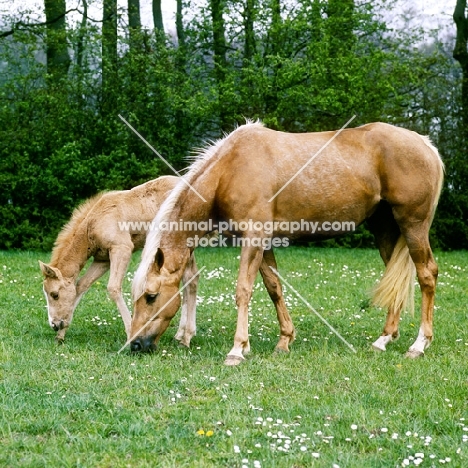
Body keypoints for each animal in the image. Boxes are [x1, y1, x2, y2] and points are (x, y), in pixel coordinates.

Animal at [40, 175, 199, 344]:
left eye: (54, 294)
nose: (54, 324)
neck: (93, 223)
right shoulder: (102, 260)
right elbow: (82, 285)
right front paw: (61, 334)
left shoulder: (122, 248)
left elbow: (113, 288)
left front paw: (131, 334)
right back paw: (181, 334)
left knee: (191, 277)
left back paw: (186, 335)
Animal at [130, 120, 444, 366]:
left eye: (151, 296)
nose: (134, 344)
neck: (230, 170)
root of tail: (425, 144)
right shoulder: (263, 243)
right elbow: (274, 288)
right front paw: (283, 340)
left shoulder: (253, 238)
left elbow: (243, 290)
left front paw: (237, 349)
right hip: (386, 229)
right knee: (397, 279)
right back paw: (383, 339)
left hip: (413, 226)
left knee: (427, 274)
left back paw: (419, 345)